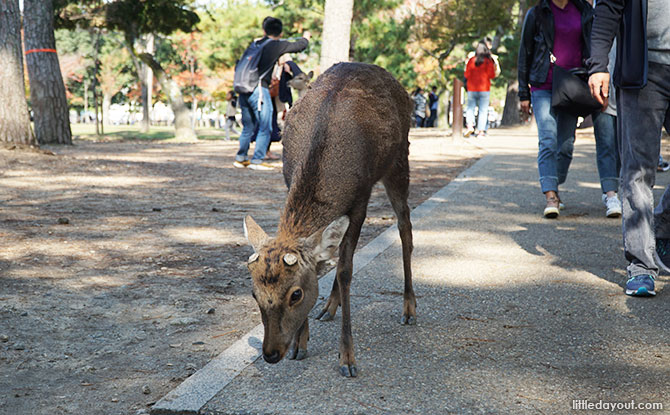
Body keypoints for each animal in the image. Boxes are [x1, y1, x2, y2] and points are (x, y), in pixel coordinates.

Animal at [244, 61, 418, 376]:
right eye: (254, 294)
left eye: (296, 294)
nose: (271, 354)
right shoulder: (288, 182)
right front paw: (301, 344)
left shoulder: (360, 201)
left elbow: (346, 270)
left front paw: (347, 358)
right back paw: (328, 308)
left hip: (400, 159)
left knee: (405, 226)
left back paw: (409, 308)